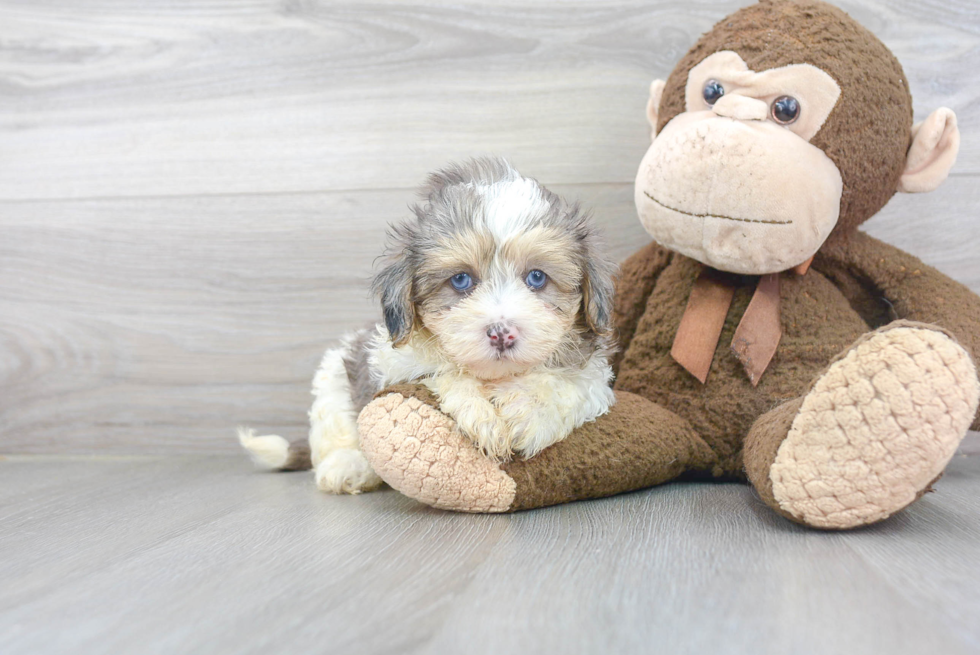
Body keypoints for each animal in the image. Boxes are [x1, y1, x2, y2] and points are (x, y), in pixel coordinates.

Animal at [238, 159, 616, 494]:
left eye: (537, 277)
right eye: (461, 280)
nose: (501, 333)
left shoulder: (595, 377)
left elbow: (570, 384)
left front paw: (529, 410)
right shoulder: (393, 363)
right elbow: (439, 373)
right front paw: (482, 416)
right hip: (333, 379)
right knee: (334, 436)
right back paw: (349, 467)